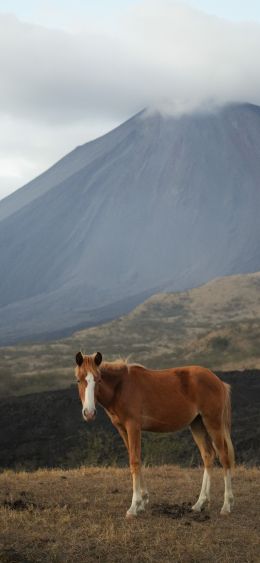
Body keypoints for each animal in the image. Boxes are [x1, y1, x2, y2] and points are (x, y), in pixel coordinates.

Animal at [74, 352, 235, 520]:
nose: (89, 413)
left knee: (224, 457)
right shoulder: (122, 429)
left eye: (98, 379)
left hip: (213, 423)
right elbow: (136, 459)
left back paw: (226, 505)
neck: (121, 387)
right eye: (78, 380)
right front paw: (143, 500)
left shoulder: (133, 427)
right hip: (197, 424)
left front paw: (134, 506)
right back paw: (199, 503)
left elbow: (134, 461)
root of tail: (219, 382)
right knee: (208, 456)